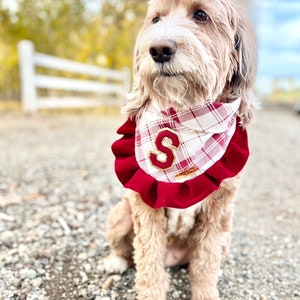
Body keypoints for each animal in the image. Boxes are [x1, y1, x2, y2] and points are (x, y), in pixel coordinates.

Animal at [104, 1, 256, 298]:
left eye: (201, 15)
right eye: (156, 19)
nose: (159, 49)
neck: (185, 112)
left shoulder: (219, 209)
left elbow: (206, 262)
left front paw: (205, 292)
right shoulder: (144, 205)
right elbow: (148, 261)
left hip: (226, 236)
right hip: (120, 213)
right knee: (127, 251)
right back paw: (115, 261)